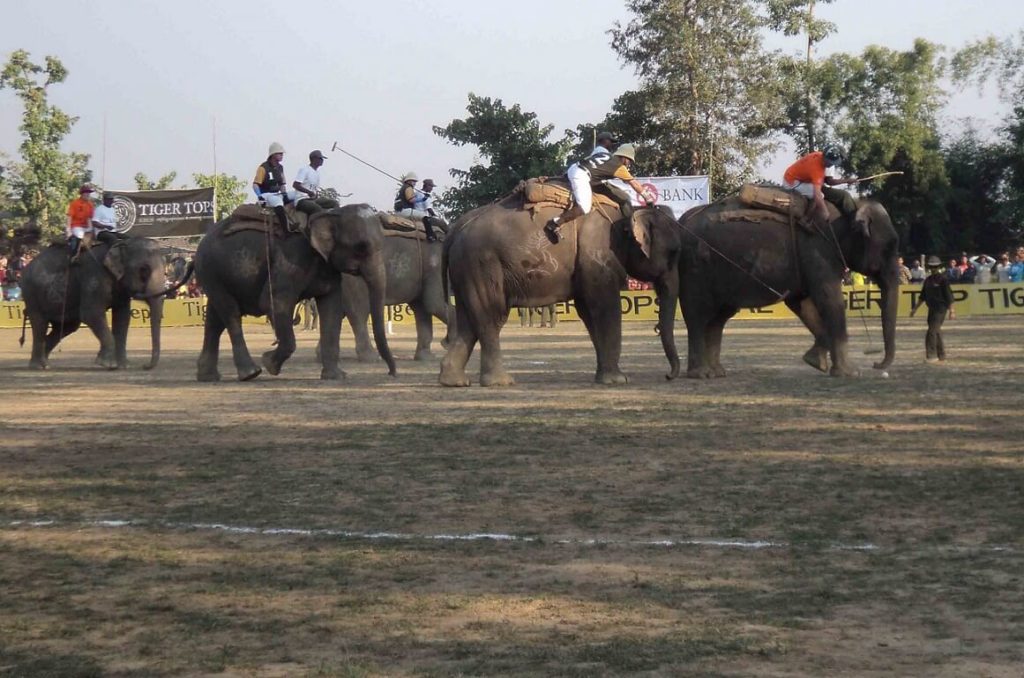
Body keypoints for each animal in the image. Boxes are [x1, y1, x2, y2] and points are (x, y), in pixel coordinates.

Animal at [20, 238, 180, 372]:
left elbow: (122, 318)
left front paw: (123, 366)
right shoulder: (94, 276)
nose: (145, 366)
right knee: (40, 323)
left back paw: (45, 363)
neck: (121, 243)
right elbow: (91, 314)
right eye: (144, 270)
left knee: (67, 326)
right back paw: (38, 366)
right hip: (31, 293)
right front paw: (107, 364)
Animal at [192, 204, 395, 383]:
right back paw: (250, 373)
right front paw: (270, 363)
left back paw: (208, 377)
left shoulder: (327, 266)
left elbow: (331, 309)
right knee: (231, 314)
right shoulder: (289, 260)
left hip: (215, 276)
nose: (391, 373)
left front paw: (336, 376)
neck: (328, 214)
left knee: (215, 320)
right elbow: (273, 303)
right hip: (211, 271)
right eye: (361, 247)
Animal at [342, 227, 454, 364]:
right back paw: (371, 358)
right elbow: (434, 304)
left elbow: (423, 309)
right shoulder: (435, 266)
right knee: (359, 311)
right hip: (352, 277)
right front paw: (449, 345)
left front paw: (426, 358)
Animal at [438, 197, 679, 387]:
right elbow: (604, 306)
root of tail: (456, 229)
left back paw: (454, 382)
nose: (668, 376)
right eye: (674, 253)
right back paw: (500, 382)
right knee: (491, 316)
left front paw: (604, 377)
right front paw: (618, 380)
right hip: (482, 264)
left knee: (468, 319)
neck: (626, 214)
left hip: (465, 269)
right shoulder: (598, 257)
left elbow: (588, 311)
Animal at [675, 196, 901, 378]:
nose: (876, 363)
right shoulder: (817, 252)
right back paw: (701, 374)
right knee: (697, 315)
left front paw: (815, 362)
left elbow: (801, 303)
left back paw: (718, 372)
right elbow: (829, 299)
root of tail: (682, 221)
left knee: (719, 318)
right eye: (889, 247)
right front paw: (850, 373)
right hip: (696, 269)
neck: (851, 207)